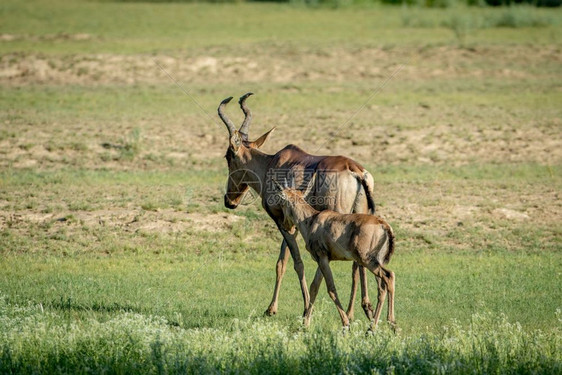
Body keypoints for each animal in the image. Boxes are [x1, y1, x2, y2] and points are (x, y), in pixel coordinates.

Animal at [272, 181, 394, 330]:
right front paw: (305, 324)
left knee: (388, 277)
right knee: (382, 286)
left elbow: (331, 288)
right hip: (376, 261)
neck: (313, 219)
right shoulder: (323, 259)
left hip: (368, 261)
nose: (285, 226)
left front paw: (346, 323)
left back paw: (381, 326)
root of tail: (384, 225)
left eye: (283, 202)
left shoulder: (323, 258)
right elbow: (314, 287)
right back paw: (382, 326)